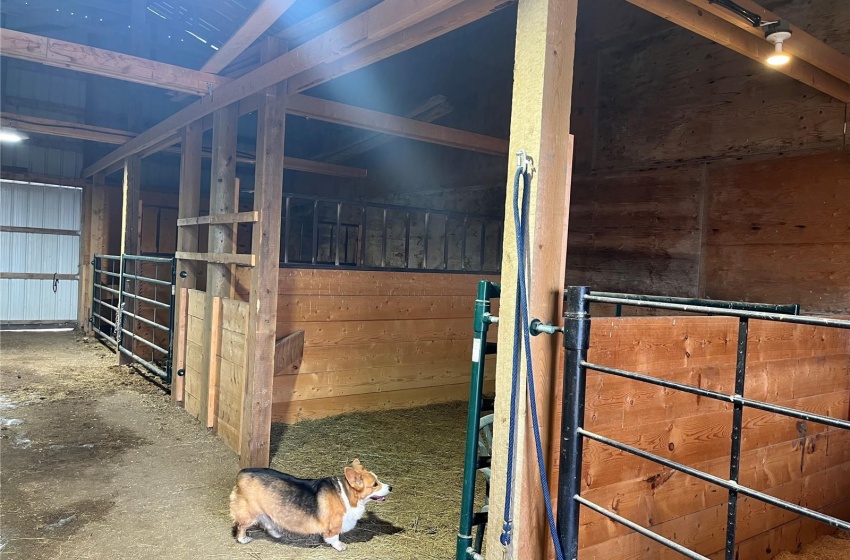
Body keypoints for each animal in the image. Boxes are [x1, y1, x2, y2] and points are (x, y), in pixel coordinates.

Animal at [230, 460, 392, 552]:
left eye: (378, 480)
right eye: (375, 484)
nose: (391, 487)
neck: (347, 495)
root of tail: (241, 473)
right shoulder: (334, 526)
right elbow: (334, 538)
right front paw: (340, 546)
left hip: (266, 509)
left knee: (267, 521)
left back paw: (276, 532)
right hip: (250, 513)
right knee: (241, 526)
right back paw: (243, 539)